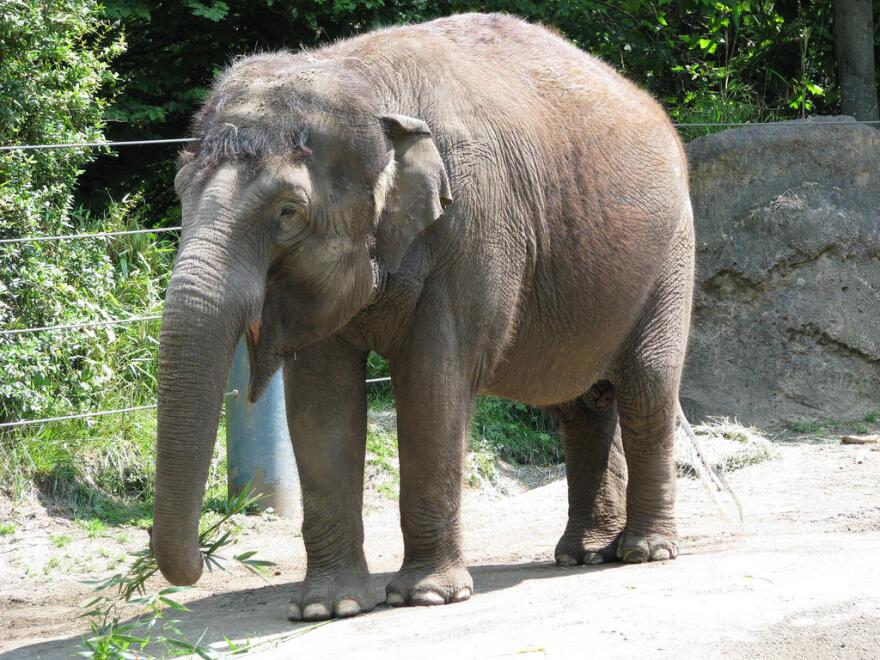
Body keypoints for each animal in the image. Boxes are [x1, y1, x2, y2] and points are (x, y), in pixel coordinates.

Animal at [156, 12, 696, 624]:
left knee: (646, 385)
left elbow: (432, 379)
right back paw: (582, 555)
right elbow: (320, 401)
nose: (203, 563)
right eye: (179, 192)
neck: (360, 77)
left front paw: (428, 596)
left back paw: (645, 552)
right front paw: (326, 608)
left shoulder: (475, 227)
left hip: (671, 255)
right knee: (581, 405)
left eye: (288, 212)